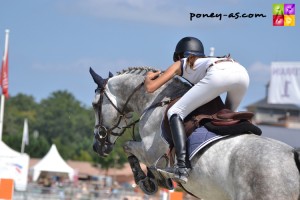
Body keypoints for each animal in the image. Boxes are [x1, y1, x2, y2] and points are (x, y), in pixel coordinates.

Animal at [90, 67, 300, 200]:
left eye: (94, 104)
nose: (97, 146)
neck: (155, 101)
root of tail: (293, 156)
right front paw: (153, 179)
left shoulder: (150, 152)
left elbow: (127, 147)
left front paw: (145, 181)